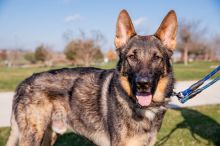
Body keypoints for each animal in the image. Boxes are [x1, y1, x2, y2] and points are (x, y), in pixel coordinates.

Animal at [6, 9, 177, 146]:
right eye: (132, 57)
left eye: (156, 58)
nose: (143, 84)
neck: (144, 109)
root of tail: (23, 83)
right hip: (33, 136)